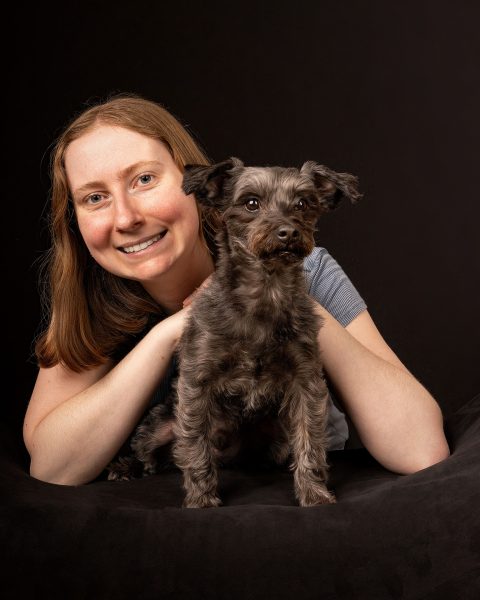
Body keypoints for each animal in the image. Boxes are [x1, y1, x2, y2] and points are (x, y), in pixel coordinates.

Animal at [106, 158, 360, 506]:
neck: (265, 293)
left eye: (303, 203)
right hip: (159, 423)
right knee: (152, 452)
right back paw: (127, 467)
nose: (288, 231)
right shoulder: (197, 381)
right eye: (251, 203)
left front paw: (314, 494)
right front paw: (201, 500)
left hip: (278, 437)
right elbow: (196, 447)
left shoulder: (305, 381)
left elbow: (310, 441)